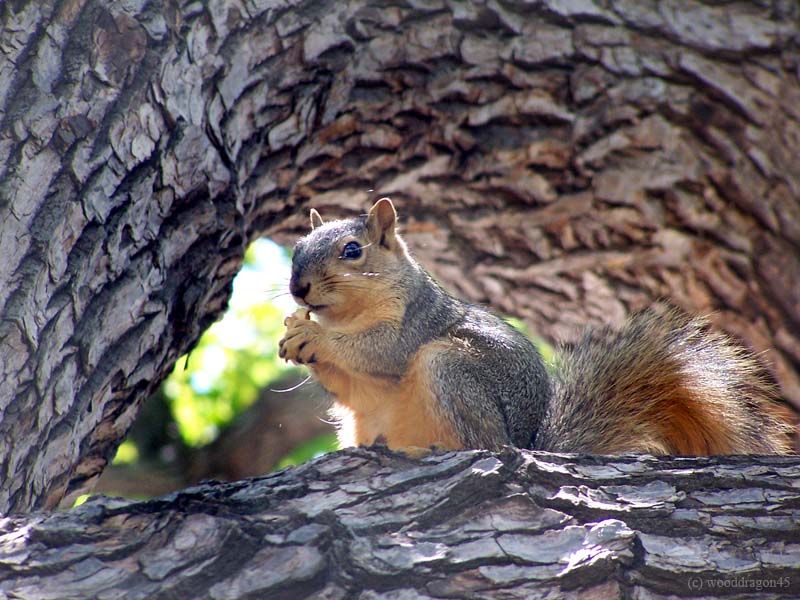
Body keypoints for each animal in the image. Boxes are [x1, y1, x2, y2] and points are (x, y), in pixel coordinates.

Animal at [278, 198, 792, 454]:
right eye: (298, 245)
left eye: (352, 250)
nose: (299, 288)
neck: (350, 314)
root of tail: (525, 442)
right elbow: (352, 388)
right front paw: (296, 337)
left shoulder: (414, 322)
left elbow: (378, 351)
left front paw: (312, 334)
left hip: (450, 372)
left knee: (481, 444)